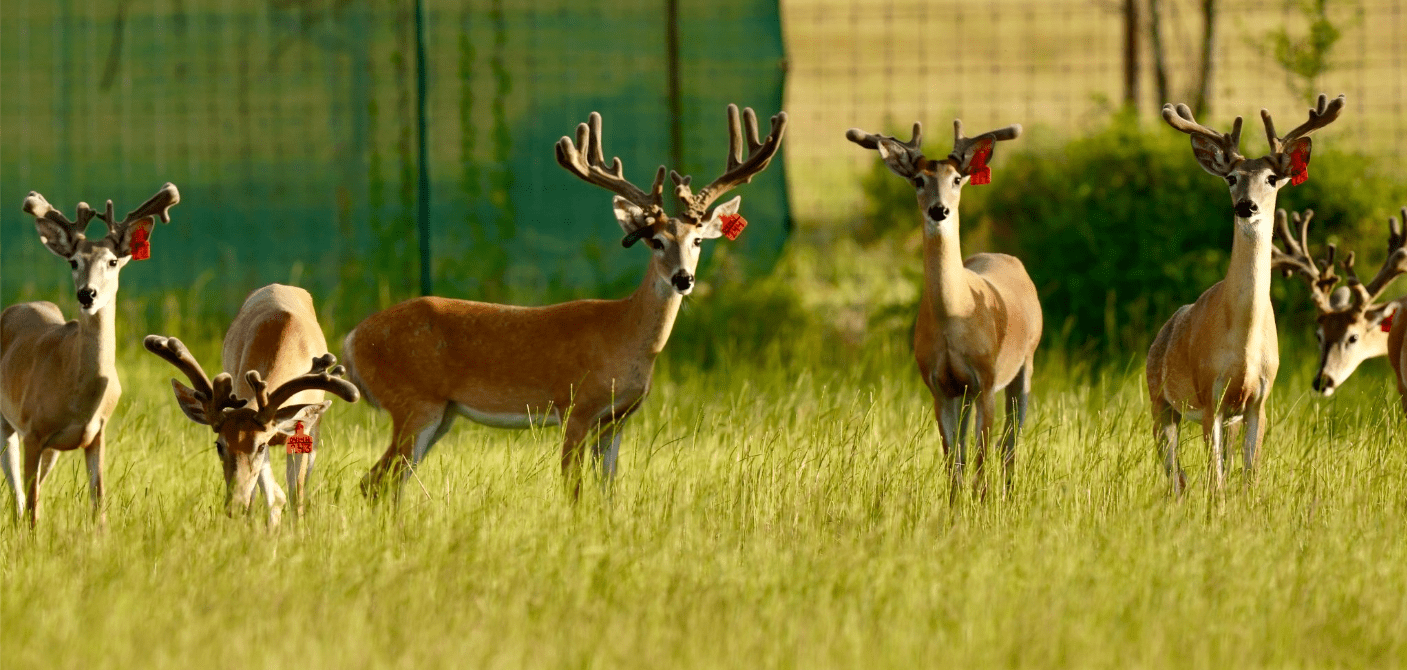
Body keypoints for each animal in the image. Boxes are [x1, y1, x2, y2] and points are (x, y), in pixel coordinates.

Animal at [2, 183, 179, 526]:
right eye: (73, 262)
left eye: (112, 261)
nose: (87, 294)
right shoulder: (32, 429)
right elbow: (31, 507)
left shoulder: (97, 433)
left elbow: (99, 502)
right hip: (8, 423)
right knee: (17, 492)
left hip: (50, 448)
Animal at [144, 284, 359, 525]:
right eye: (219, 445)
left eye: (260, 446)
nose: (234, 506)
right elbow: (272, 496)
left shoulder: (302, 433)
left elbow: (295, 496)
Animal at [343, 104, 786, 499]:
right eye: (656, 241)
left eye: (697, 241)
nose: (684, 279)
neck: (625, 337)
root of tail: (352, 340)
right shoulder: (575, 406)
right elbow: (573, 490)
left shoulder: (617, 420)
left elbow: (608, 491)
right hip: (414, 402)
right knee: (373, 482)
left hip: (442, 413)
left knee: (384, 484)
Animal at [845, 119, 1041, 501]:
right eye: (919, 180)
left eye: (957, 179)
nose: (939, 210)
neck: (955, 315)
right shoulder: (939, 385)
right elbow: (953, 459)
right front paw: (955, 505)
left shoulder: (986, 380)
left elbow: (981, 456)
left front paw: (982, 502)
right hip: (965, 393)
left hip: (1025, 361)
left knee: (1010, 443)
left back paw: (1009, 493)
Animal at [1148, 94, 1344, 494]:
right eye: (1232, 178)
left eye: (1271, 179)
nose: (1245, 205)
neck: (1244, 344)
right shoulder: (1210, 395)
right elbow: (1217, 479)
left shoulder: (1258, 401)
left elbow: (1250, 476)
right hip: (1159, 399)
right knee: (1177, 476)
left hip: (1225, 417)